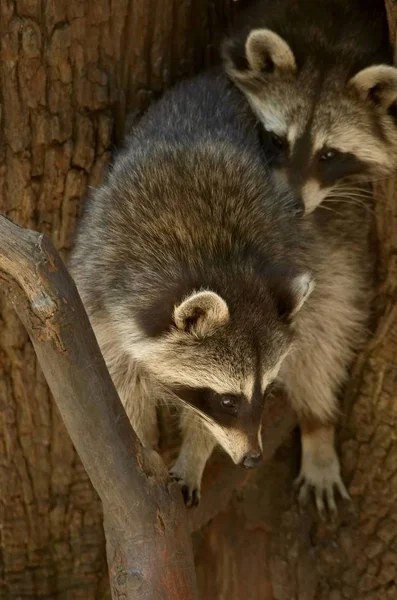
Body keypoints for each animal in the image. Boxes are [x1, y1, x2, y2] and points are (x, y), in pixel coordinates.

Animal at [69, 69, 372, 510]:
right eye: (228, 401)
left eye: (267, 391)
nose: (251, 459)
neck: (212, 259)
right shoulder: (97, 296)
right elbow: (122, 386)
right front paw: (143, 449)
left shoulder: (284, 246)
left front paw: (195, 453)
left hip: (335, 228)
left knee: (327, 324)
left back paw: (317, 425)